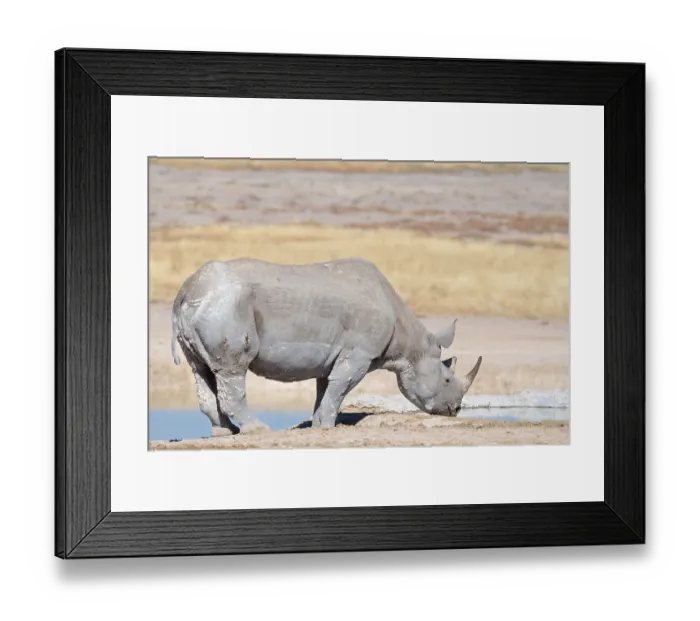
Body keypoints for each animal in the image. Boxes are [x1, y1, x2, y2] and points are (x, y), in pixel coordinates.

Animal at [171, 258, 482, 435]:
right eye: (447, 379)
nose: (455, 410)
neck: (411, 344)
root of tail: (185, 293)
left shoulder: (334, 354)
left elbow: (326, 389)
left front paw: (319, 425)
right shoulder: (359, 354)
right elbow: (340, 387)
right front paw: (330, 426)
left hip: (210, 308)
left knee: (202, 370)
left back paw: (225, 432)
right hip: (227, 307)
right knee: (232, 370)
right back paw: (256, 430)